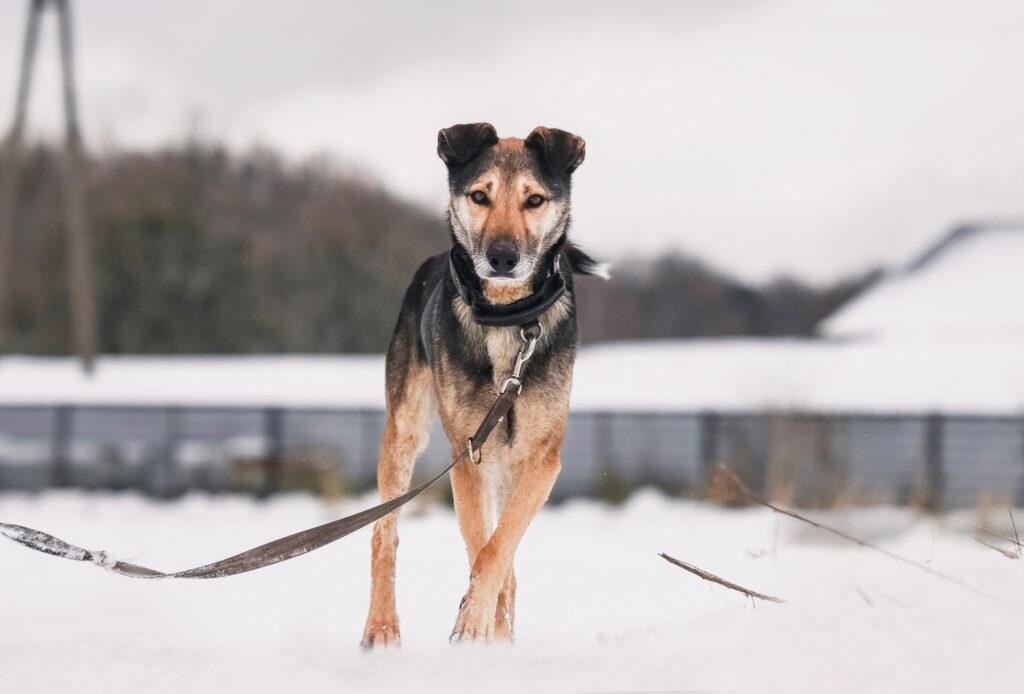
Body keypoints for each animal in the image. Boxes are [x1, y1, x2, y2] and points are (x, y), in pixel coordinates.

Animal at [364, 122, 606, 651]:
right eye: (479, 196)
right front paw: (475, 628)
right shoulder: (468, 452)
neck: (507, 316)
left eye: (534, 200)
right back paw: (381, 626)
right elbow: (481, 546)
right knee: (385, 534)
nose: (501, 258)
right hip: (404, 432)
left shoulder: (541, 458)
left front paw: (481, 629)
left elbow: (499, 549)